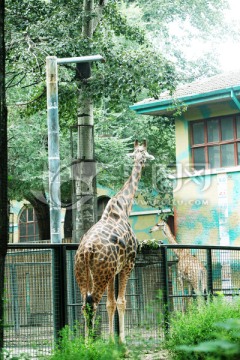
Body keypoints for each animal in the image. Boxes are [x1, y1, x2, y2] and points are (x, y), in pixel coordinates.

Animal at [74, 139, 155, 342]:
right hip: (101, 274)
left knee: (84, 304)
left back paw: (84, 343)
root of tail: (86, 250)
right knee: (92, 303)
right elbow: (121, 301)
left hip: (84, 273)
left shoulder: (113, 272)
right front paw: (122, 342)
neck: (124, 207)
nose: (143, 162)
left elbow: (110, 303)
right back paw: (90, 344)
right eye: (143, 154)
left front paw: (111, 341)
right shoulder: (128, 263)